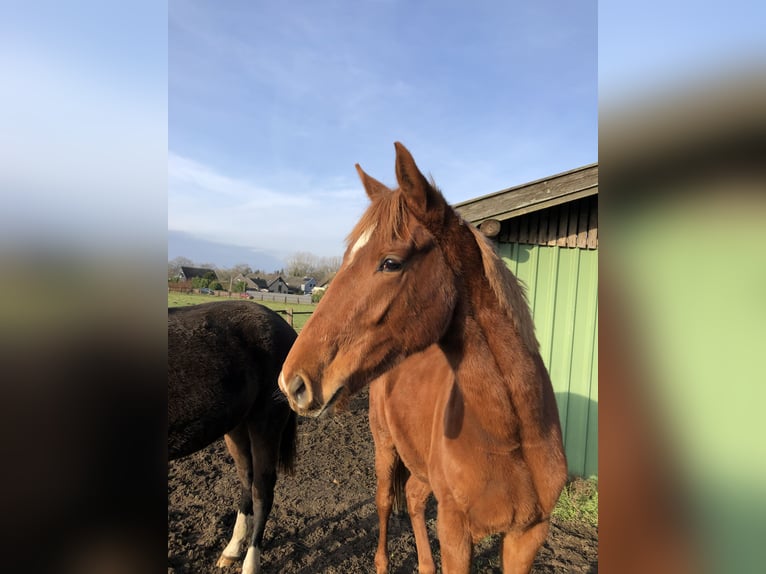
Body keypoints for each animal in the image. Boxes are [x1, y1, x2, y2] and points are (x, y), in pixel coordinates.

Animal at [168, 301, 297, 574]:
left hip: (265, 424)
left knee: (262, 491)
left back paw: (250, 564)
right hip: (237, 427)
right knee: (246, 480)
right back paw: (232, 550)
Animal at [278, 142, 568, 573]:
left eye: (391, 262)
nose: (292, 382)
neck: (511, 433)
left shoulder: (527, 536)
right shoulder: (455, 532)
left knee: (414, 496)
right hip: (385, 447)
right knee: (385, 500)